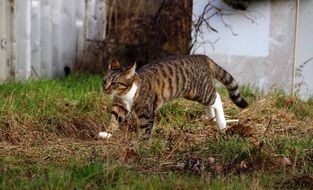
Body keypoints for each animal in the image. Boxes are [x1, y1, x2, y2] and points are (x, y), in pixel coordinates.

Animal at [98, 54, 247, 140]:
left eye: (114, 83)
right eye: (104, 81)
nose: (105, 89)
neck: (125, 94)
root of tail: (201, 56)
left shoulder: (147, 111)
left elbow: (146, 127)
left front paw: (141, 142)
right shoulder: (119, 107)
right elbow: (114, 119)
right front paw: (107, 133)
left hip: (199, 91)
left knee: (216, 97)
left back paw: (221, 123)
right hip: (195, 93)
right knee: (212, 101)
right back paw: (211, 117)